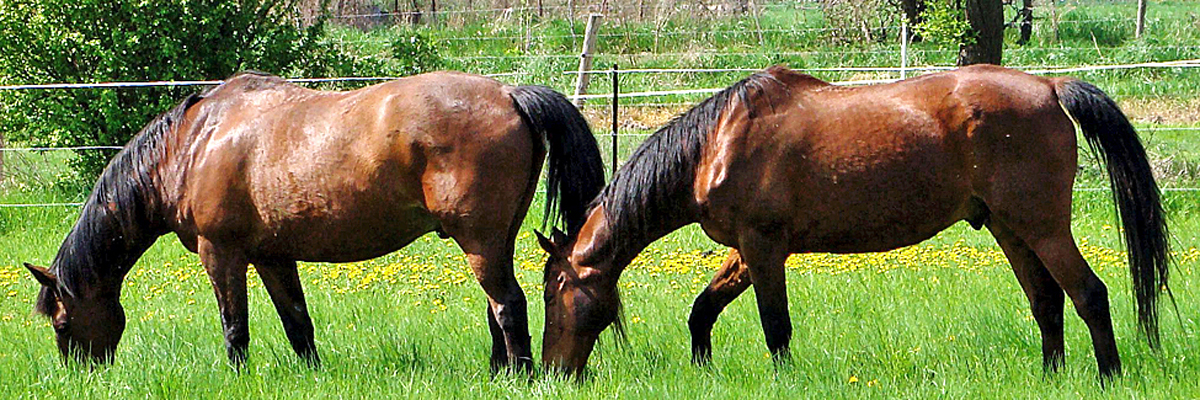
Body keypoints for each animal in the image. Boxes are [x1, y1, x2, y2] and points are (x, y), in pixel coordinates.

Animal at [25, 69, 609, 369]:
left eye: (61, 322)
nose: (82, 374)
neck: (192, 144)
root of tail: (511, 93)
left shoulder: (222, 252)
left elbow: (234, 327)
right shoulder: (272, 256)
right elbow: (297, 324)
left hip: (480, 240)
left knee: (508, 306)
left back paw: (519, 375)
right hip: (496, 239)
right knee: (498, 309)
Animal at [537, 65, 1171, 377]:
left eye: (553, 291)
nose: (551, 372)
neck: (715, 144)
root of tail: (1050, 86)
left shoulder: (764, 248)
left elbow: (776, 328)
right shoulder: (747, 250)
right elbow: (703, 310)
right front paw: (703, 369)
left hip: (1042, 226)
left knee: (1089, 294)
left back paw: (1109, 376)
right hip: (1008, 227)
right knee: (1046, 301)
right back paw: (1050, 376)